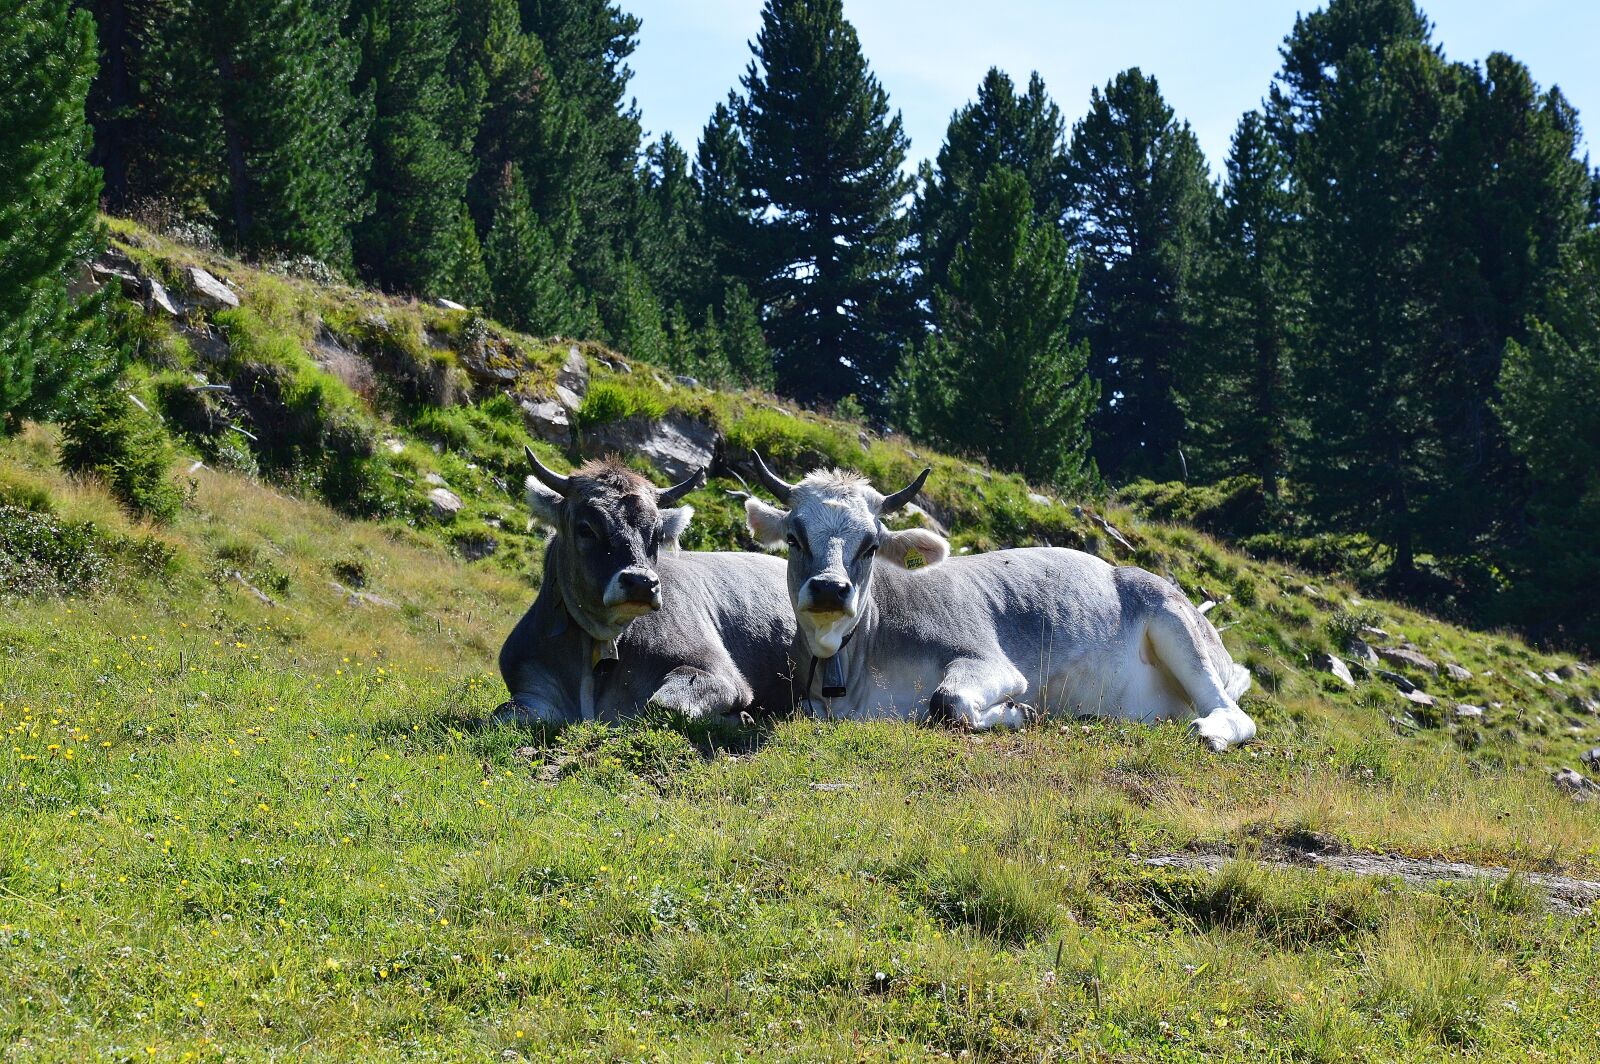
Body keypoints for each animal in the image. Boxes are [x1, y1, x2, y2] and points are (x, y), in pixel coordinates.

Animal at [496, 448, 797, 725]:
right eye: (586, 528)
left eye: (657, 535)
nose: (642, 583)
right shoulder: (531, 685)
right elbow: (503, 714)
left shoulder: (722, 673)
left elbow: (663, 705)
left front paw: (742, 718)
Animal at [741, 455, 1257, 750]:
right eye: (794, 538)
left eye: (870, 545)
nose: (830, 588)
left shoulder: (991, 661)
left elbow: (947, 702)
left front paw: (1015, 713)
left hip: (1174, 622)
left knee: (1234, 714)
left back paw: (1211, 732)